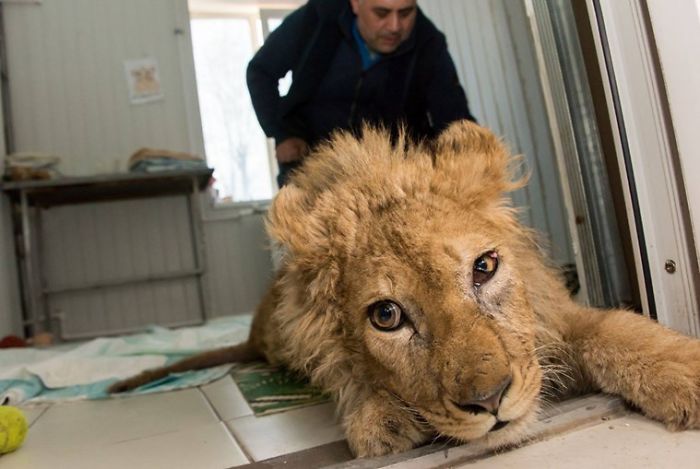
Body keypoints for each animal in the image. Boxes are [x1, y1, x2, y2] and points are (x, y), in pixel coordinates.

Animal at [110, 121, 700, 458]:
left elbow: (614, 329)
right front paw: (378, 417)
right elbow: (344, 375)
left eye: (484, 267)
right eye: (387, 316)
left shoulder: (555, 315)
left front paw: (684, 372)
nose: (490, 400)